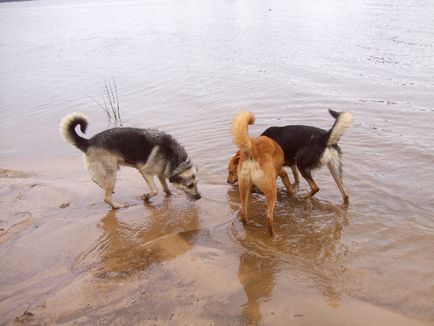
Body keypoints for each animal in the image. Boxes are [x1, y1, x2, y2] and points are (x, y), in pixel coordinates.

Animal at [60, 112, 201, 209]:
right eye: (190, 185)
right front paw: (146, 197)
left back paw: (103, 187)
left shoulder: (161, 172)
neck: (176, 159)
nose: (199, 197)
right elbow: (155, 190)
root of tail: (88, 142)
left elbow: (165, 187)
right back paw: (117, 206)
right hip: (111, 173)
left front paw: (170, 195)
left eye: (197, 183)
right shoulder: (145, 172)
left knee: (95, 179)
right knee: (106, 197)